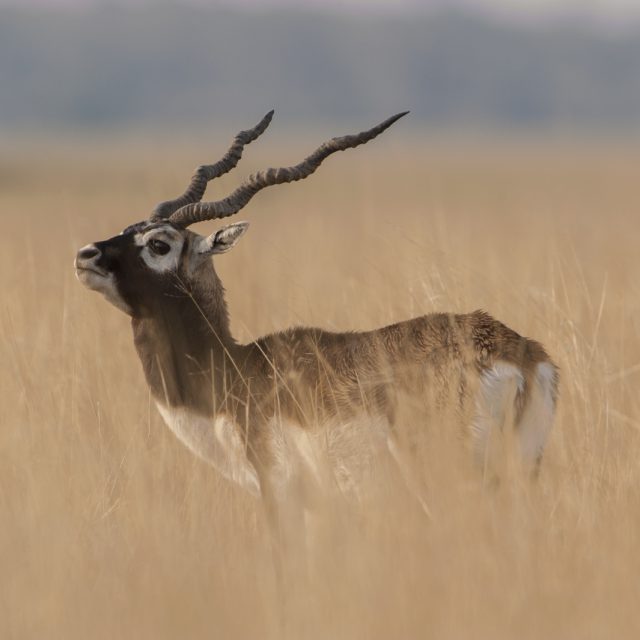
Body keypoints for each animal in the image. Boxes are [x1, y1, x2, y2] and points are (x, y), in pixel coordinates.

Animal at [75, 111, 558, 537]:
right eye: (128, 229)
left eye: (159, 244)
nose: (86, 255)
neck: (234, 372)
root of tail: (521, 357)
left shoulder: (281, 494)